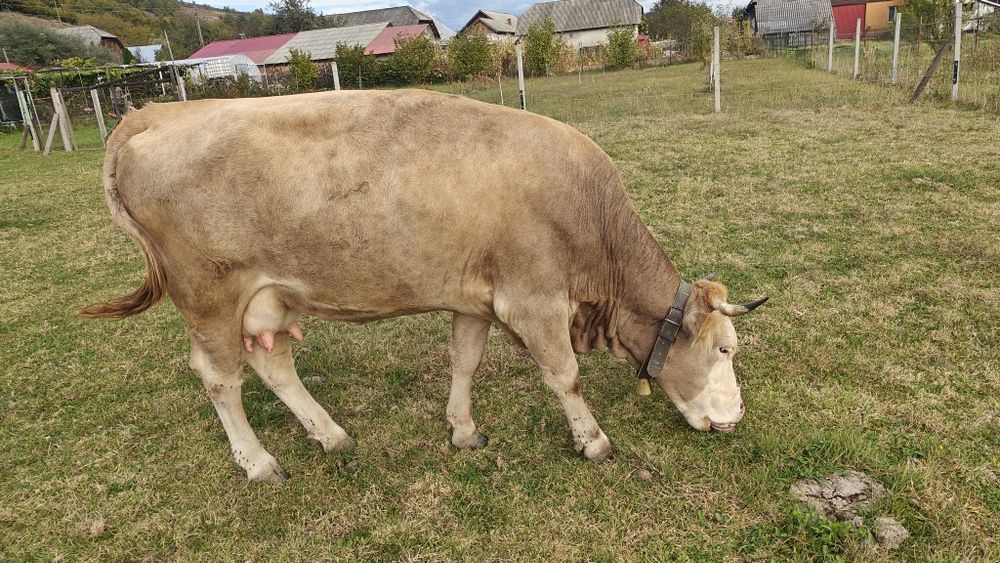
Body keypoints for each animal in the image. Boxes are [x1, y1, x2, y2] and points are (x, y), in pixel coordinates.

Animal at [82, 89, 767, 483]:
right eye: (724, 349)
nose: (735, 418)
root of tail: (156, 112)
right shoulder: (534, 297)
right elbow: (565, 375)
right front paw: (594, 442)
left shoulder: (476, 297)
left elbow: (464, 361)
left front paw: (462, 429)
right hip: (208, 296)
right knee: (220, 380)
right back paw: (258, 463)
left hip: (264, 298)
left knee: (274, 366)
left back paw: (331, 436)